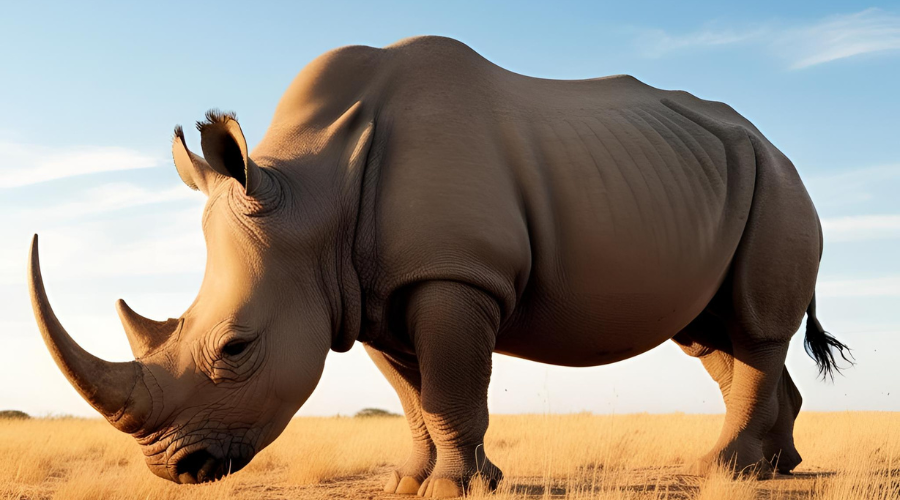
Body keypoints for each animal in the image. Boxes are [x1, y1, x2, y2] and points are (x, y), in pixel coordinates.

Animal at [29, 36, 850, 497]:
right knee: (714, 338)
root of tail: (775, 145)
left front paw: (455, 488)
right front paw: (415, 481)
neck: (313, 192)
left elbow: (453, 389)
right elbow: (416, 399)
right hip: (719, 182)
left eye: (235, 348)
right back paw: (772, 469)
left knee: (752, 329)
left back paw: (723, 473)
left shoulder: (455, 274)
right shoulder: (367, 295)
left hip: (779, 183)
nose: (177, 469)